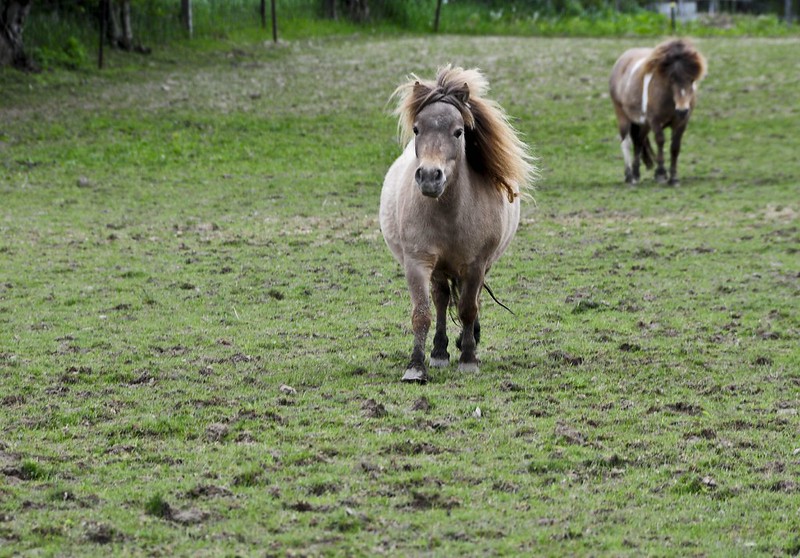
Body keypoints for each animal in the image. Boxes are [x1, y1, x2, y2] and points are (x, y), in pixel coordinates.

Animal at [378, 64, 536, 380]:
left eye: (459, 131)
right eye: (417, 129)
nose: (429, 176)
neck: (449, 214)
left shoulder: (475, 265)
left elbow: (467, 309)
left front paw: (469, 359)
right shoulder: (417, 262)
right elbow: (422, 313)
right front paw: (416, 366)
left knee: (469, 301)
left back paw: (467, 341)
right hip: (439, 269)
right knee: (440, 300)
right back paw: (439, 352)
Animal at [612, 38, 708, 186]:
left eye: (692, 79)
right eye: (671, 78)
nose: (682, 110)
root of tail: (621, 60)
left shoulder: (681, 123)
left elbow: (675, 146)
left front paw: (673, 178)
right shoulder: (655, 121)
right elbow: (660, 140)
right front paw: (661, 174)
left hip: (643, 124)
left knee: (639, 141)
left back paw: (636, 174)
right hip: (622, 116)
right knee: (626, 142)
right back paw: (629, 176)